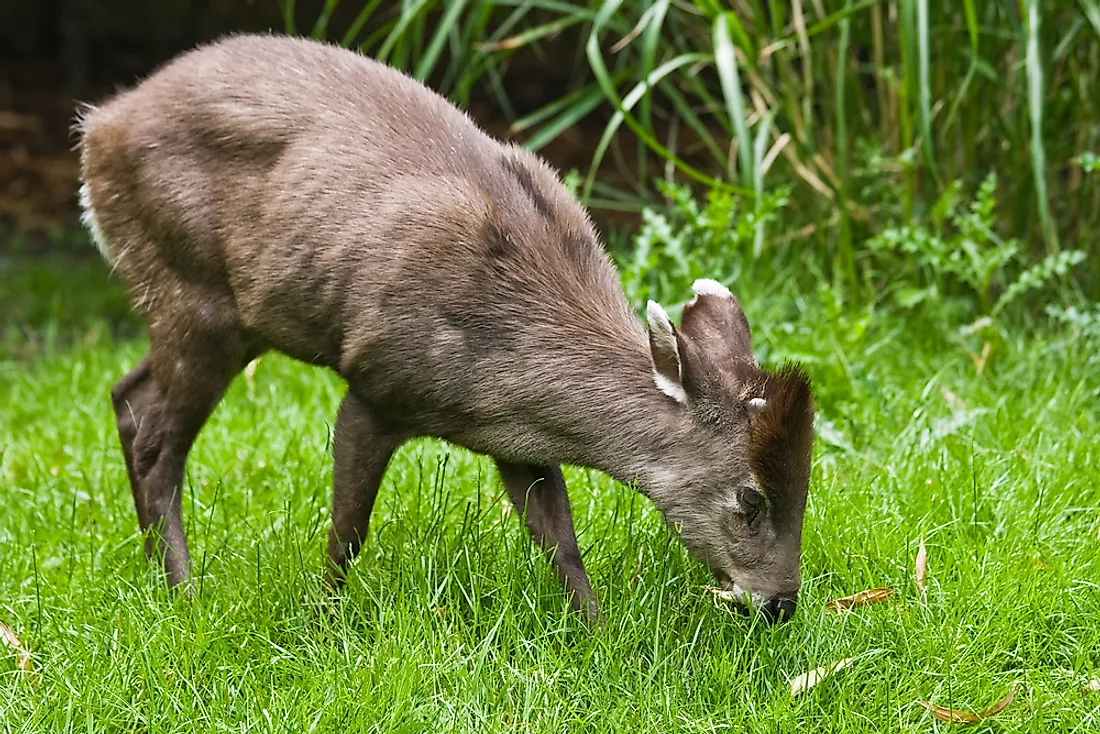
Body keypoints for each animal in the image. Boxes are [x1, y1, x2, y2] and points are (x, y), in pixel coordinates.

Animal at [77, 31, 814, 625]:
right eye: (750, 497)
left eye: (805, 485)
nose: (779, 603)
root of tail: (98, 126)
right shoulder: (377, 383)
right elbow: (349, 530)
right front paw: (320, 624)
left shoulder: (516, 439)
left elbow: (560, 540)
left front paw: (598, 635)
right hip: (192, 290)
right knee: (158, 443)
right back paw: (185, 594)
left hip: (216, 312)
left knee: (127, 394)